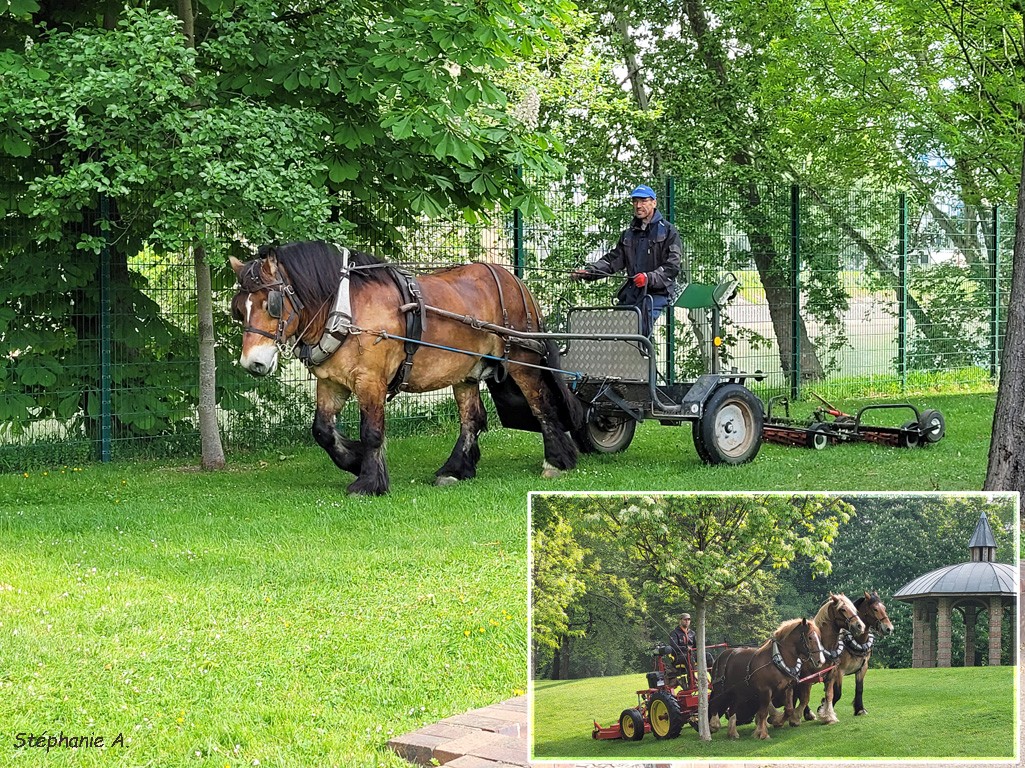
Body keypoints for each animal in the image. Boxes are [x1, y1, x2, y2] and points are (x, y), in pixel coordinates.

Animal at [232, 237, 586, 498]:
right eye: (239, 310)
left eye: (271, 304)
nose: (253, 363)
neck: (344, 306)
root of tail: (514, 280)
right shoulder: (332, 382)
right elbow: (322, 430)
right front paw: (355, 460)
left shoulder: (370, 380)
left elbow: (372, 431)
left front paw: (368, 482)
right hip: (467, 371)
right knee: (472, 418)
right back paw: (455, 469)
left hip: (522, 361)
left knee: (541, 404)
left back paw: (556, 460)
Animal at [803, 590, 893, 721]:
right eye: (875, 609)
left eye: (884, 608)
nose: (889, 628)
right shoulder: (839, 671)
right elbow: (837, 693)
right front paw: (823, 707)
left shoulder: (862, 668)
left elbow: (859, 689)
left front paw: (860, 709)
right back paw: (807, 713)